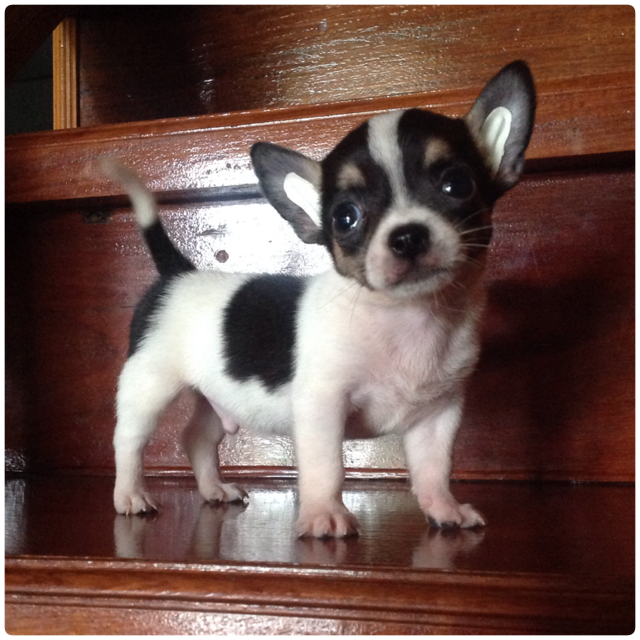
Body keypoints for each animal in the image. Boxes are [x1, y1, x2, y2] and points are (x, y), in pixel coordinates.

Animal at [102, 60, 535, 538]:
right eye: (345, 217)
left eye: (456, 185)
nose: (407, 236)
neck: (408, 317)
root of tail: (179, 273)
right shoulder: (322, 407)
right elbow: (327, 466)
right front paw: (324, 514)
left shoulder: (437, 416)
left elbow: (434, 469)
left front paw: (444, 509)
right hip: (148, 385)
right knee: (129, 441)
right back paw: (130, 495)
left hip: (214, 396)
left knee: (195, 437)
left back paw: (214, 489)